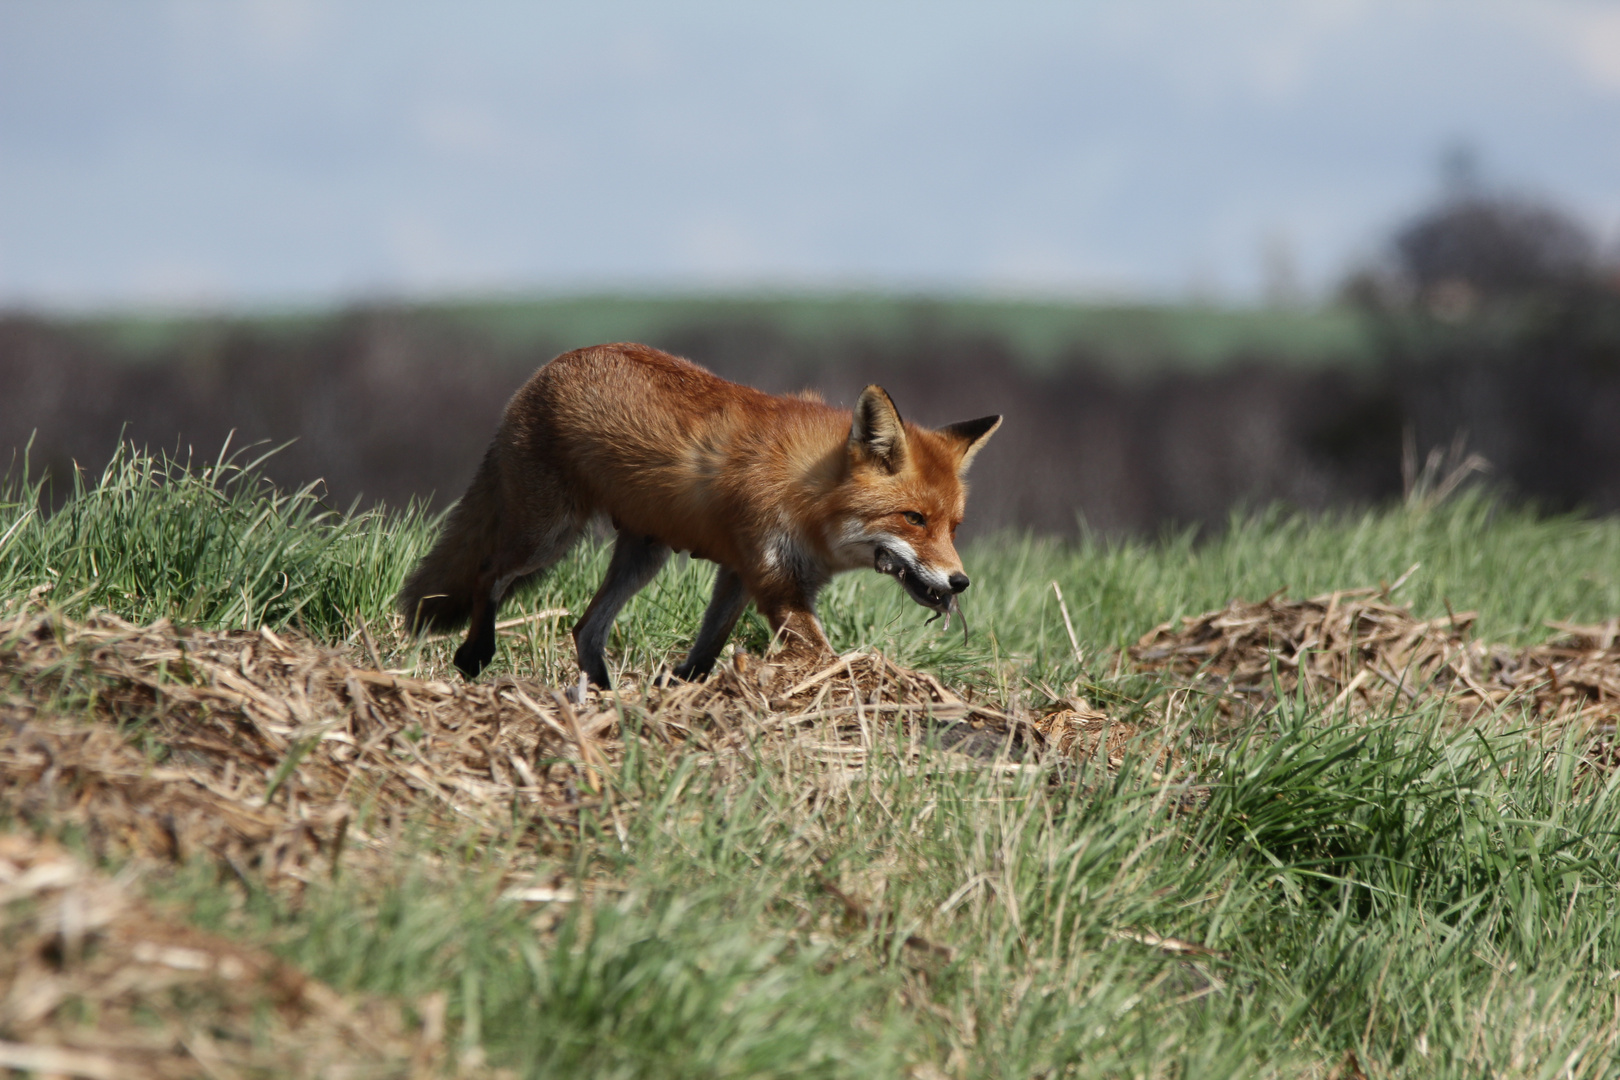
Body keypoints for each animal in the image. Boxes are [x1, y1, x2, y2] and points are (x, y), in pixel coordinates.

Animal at [395, 341, 997, 689]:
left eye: (954, 527)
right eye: (913, 519)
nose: (959, 581)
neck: (807, 496)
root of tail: (551, 366)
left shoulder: (742, 573)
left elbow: (708, 649)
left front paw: (681, 688)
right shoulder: (776, 582)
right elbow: (822, 655)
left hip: (644, 555)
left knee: (585, 630)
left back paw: (607, 698)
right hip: (546, 536)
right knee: (487, 575)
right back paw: (475, 655)